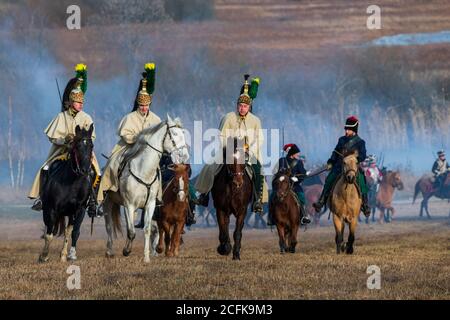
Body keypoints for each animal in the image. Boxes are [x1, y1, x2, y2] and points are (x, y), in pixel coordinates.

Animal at [39, 124, 95, 262]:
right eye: (77, 146)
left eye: (91, 146)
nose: (86, 170)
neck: (72, 182)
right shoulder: (51, 209)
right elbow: (49, 234)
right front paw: (44, 256)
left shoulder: (77, 210)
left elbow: (70, 232)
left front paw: (64, 255)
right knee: (48, 229)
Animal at [103, 115, 188, 262]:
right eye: (175, 134)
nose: (185, 156)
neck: (143, 171)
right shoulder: (129, 205)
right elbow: (131, 232)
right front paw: (126, 250)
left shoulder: (150, 204)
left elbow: (147, 229)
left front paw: (146, 257)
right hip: (108, 202)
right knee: (108, 225)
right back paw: (109, 251)